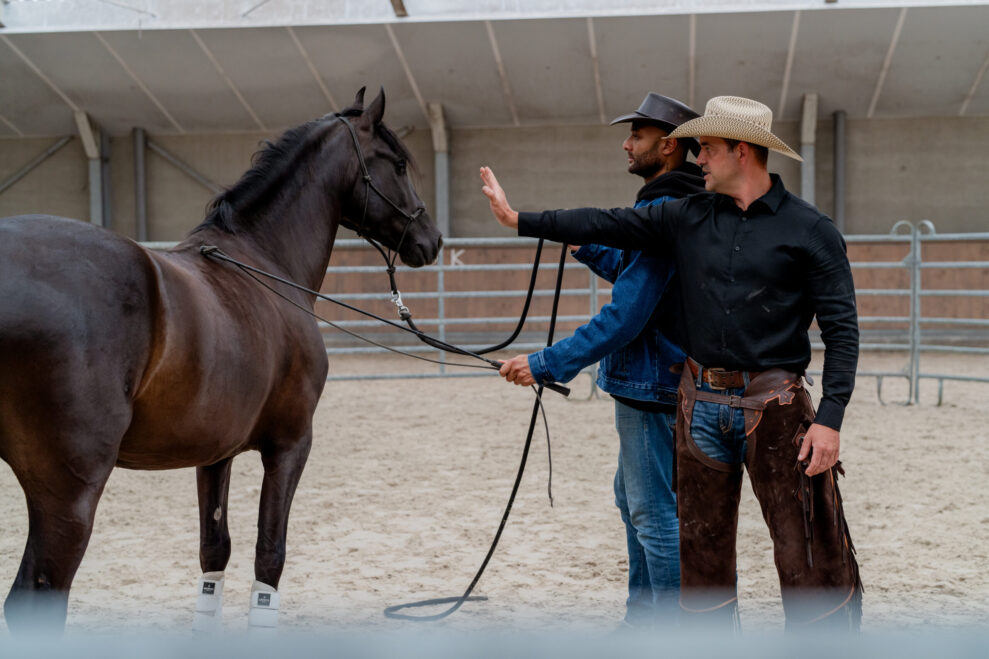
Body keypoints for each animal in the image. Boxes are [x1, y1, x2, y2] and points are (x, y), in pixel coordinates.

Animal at [0, 89, 440, 636]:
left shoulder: (214, 454)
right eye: (397, 163)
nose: (432, 239)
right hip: (70, 494)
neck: (264, 260)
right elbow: (269, 556)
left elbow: (215, 554)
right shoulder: (290, 445)